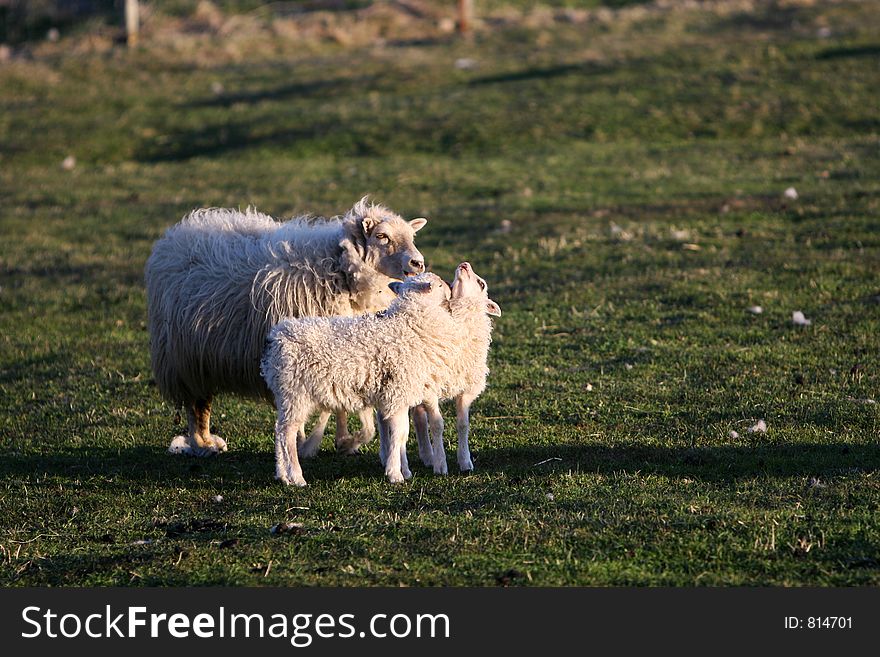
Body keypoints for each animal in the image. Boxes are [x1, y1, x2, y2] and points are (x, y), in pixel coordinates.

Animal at [144, 196, 426, 456]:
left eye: (412, 236)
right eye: (382, 236)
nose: (418, 263)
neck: (339, 269)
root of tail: (175, 235)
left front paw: (345, 440)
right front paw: (313, 442)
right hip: (183, 358)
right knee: (197, 405)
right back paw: (202, 444)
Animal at [260, 272, 454, 486]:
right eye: (438, 285)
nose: (450, 287)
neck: (409, 323)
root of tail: (276, 339)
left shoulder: (397, 397)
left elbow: (402, 435)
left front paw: (403, 470)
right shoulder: (397, 393)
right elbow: (398, 435)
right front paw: (395, 474)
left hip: (284, 394)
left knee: (279, 430)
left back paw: (282, 475)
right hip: (296, 392)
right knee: (287, 433)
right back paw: (297, 477)